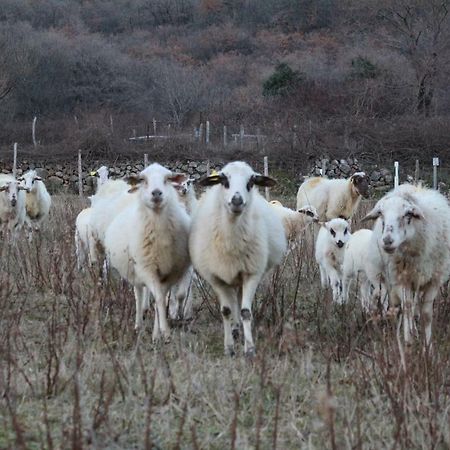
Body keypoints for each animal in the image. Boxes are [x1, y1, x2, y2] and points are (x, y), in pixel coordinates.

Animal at [104, 163, 192, 342]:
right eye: (143, 180)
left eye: (167, 179)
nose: (156, 193)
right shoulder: (146, 269)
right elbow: (158, 298)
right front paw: (164, 332)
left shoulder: (171, 272)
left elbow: (163, 297)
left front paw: (158, 333)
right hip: (135, 271)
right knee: (138, 295)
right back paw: (138, 324)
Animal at [188, 162, 286, 358]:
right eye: (224, 180)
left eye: (251, 182)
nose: (237, 200)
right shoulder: (216, 278)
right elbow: (226, 311)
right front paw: (229, 348)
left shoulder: (251, 273)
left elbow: (246, 311)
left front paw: (249, 349)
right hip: (228, 278)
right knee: (232, 305)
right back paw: (234, 331)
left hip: (239, 277)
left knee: (239, 302)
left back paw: (239, 331)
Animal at [360, 183, 450, 344]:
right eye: (381, 213)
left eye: (408, 214)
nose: (387, 241)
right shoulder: (401, 280)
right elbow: (407, 308)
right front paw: (408, 341)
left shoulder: (434, 281)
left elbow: (427, 314)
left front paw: (428, 345)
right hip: (384, 279)